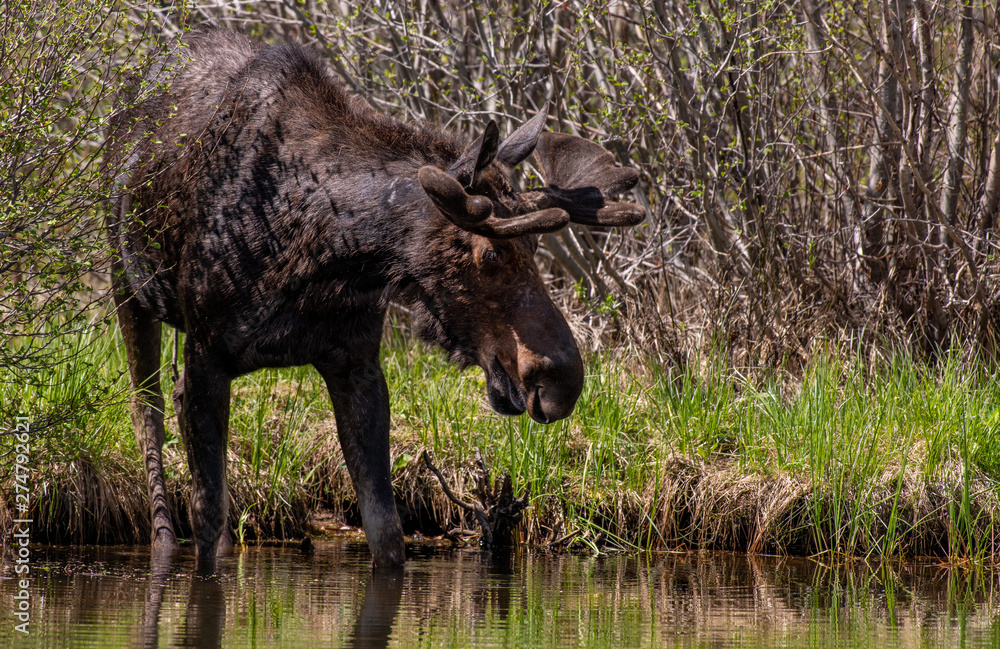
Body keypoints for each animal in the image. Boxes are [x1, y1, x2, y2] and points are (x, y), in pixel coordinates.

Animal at [105, 29, 644, 568]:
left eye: (534, 247)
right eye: (490, 253)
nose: (563, 380)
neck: (321, 251)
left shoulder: (357, 362)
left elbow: (384, 526)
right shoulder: (208, 352)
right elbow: (206, 509)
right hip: (126, 284)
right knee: (146, 411)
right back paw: (162, 539)